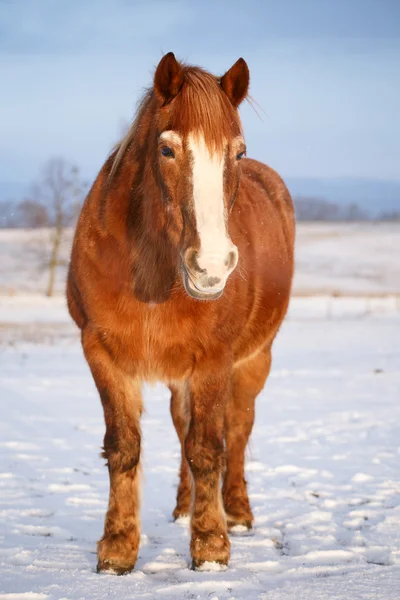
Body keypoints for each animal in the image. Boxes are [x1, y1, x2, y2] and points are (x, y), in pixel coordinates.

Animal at [67, 54, 296, 576]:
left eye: (238, 152)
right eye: (167, 150)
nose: (210, 266)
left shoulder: (214, 360)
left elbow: (208, 448)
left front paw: (210, 546)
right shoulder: (100, 353)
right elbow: (124, 446)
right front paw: (117, 548)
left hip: (254, 361)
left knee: (237, 428)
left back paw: (237, 512)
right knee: (181, 425)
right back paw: (182, 507)